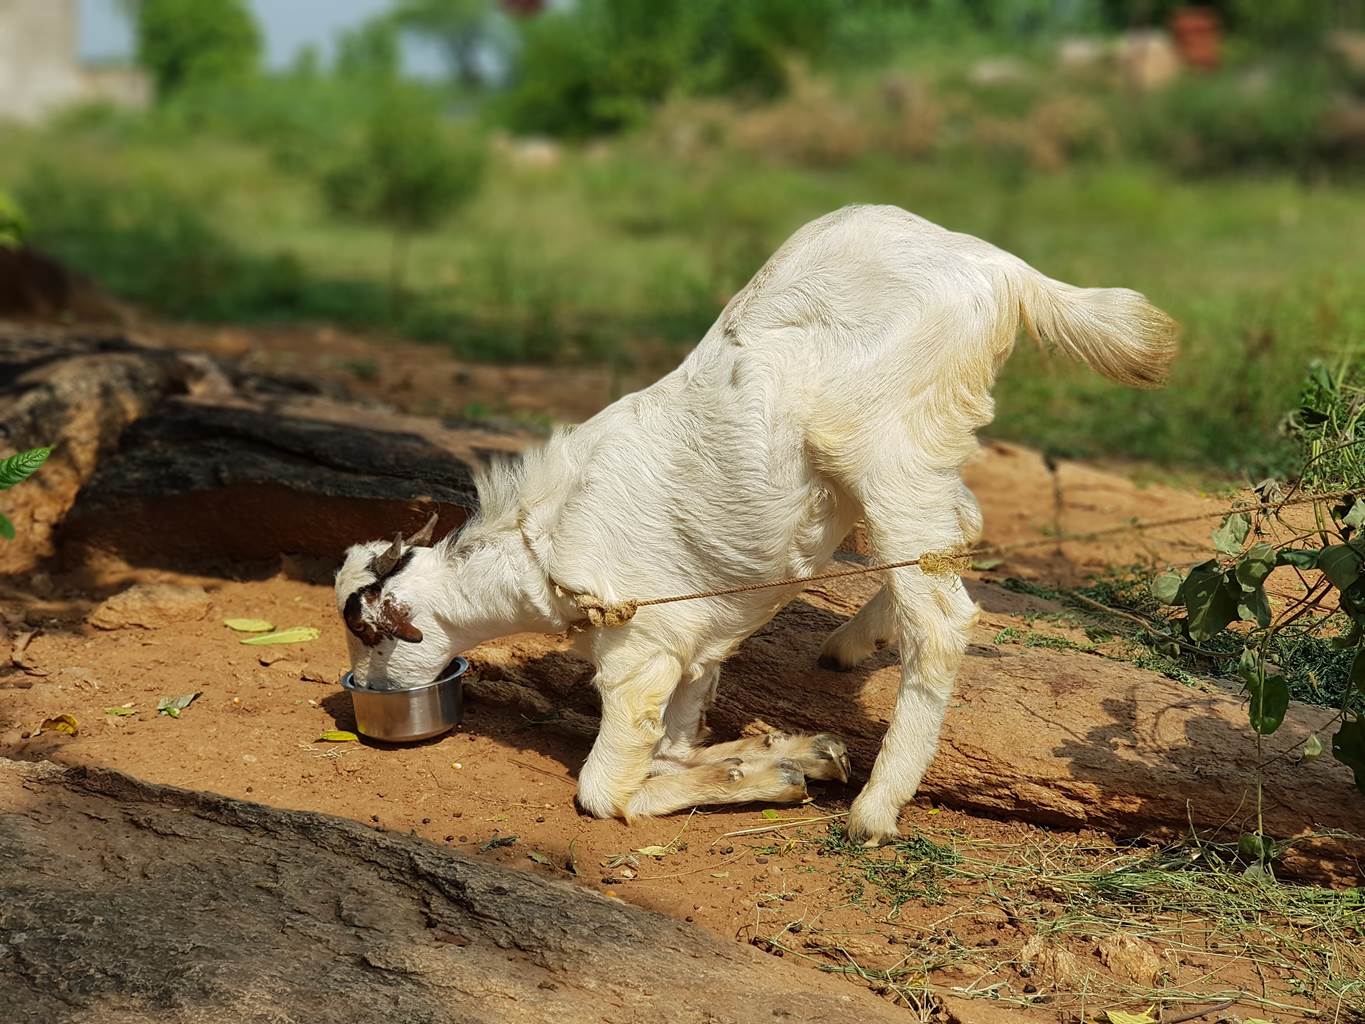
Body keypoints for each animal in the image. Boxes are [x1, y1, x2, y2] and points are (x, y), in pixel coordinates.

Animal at [335, 204, 1179, 846]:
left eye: (370, 634)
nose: (365, 691)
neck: (538, 550)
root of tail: (1003, 270)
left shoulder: (640, 654)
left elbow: (608, 790)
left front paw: (768, 774)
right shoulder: (690, 652)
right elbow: (678, 744)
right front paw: (783, 757)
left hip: (881, 445)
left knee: (940, 616)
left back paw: (875, 809)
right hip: (929, 443)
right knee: (960, 526)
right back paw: (852, 645)